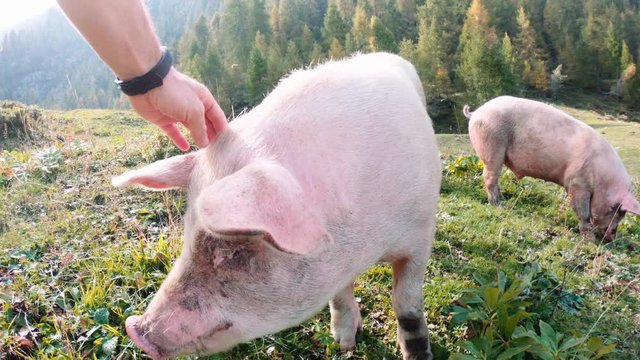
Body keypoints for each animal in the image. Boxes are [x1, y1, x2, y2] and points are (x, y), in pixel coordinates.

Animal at [114, 52, 440, 360]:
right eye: (186, 234)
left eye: (231, 251)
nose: (135, 330)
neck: (366, 244)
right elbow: (339, 295)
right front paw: (344, 346)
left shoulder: (421, 233)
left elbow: (407, 305)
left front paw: (417, 354)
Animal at [464, 95, 640, 242]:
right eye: (616, 210)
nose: (611, 238)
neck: (603, 180)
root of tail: (476, 112)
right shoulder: (577, 183)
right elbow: (583, 212)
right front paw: (589, 239)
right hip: (492, 146)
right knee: (489, 177)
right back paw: (499, 205)